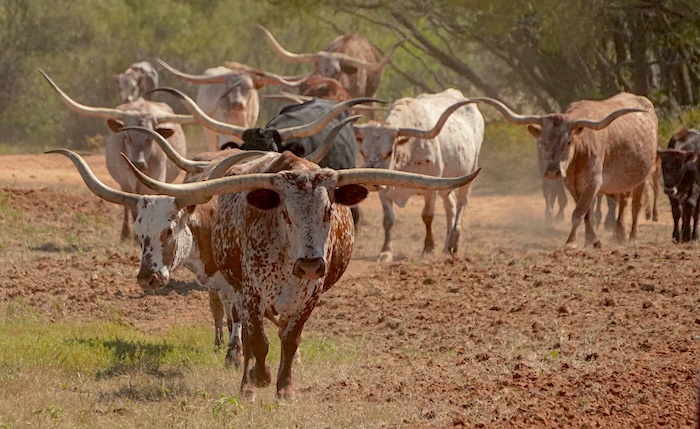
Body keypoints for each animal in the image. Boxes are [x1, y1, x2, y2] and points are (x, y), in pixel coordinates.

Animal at [39, 69, 196, 241]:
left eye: (150, 138)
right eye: (127, 136)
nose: (138, 162)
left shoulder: (157, 179)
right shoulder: (125, 181)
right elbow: (132, 207)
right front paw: (134, 236)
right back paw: (125, 233)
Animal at [124, 145, 480, 400]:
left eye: (328, 210)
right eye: (286, 212)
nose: (309, 263)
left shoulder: (310, 295)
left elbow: (290, 339)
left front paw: (285, 388)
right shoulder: (249, 294)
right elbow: (258, 342)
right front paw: (258, 380)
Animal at [353, 89, 483, 262]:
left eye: (389, 152)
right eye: (362, 151)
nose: (369, 183)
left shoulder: (431, 188)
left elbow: (427, 216)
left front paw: (428, 249)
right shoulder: (383, 189)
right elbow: (388, 220)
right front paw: (386, 252)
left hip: (469, 173)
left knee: (461, 204)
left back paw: (454, 243)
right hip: (447, 183)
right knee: (451, 206)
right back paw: (446, 247)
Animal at [471, 93, 657, 248]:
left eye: (567, 142)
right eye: (543, 142)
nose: (553, 171)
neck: (581, 148)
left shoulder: (594, 182)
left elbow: (578, 213)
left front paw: (571, 242)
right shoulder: (573, 184)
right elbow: (586, 213)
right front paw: (592, 240)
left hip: (642, 177)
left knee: (635, 206)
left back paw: (632, 237)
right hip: (623, 180)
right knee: (623, 202)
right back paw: (620, 234)